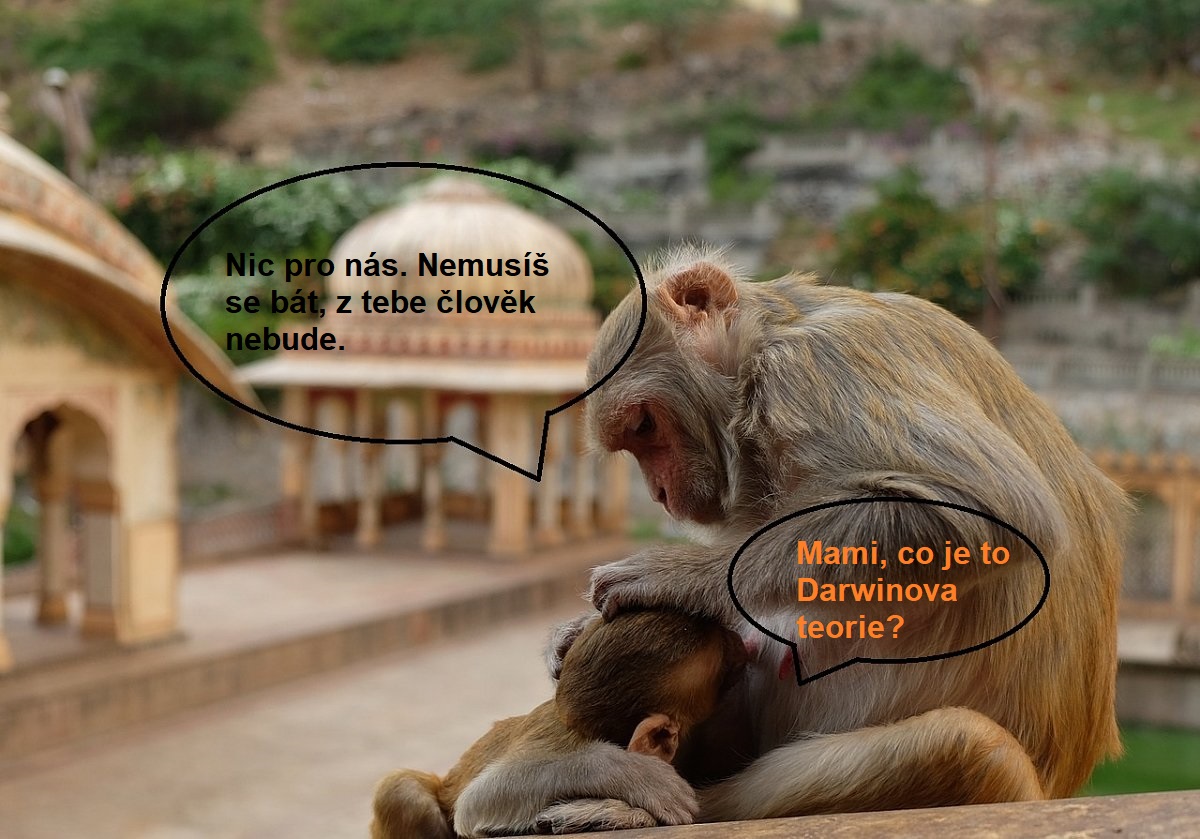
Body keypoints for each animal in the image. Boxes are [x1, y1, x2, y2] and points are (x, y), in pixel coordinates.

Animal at [455, 247, 1127, 823]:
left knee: (966, 744)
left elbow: (994, 511)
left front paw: (678, 577)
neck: (769, 343)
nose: (660, 493)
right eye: (634, 440)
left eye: (644, 427)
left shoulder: (818, 366)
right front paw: (571, 636)